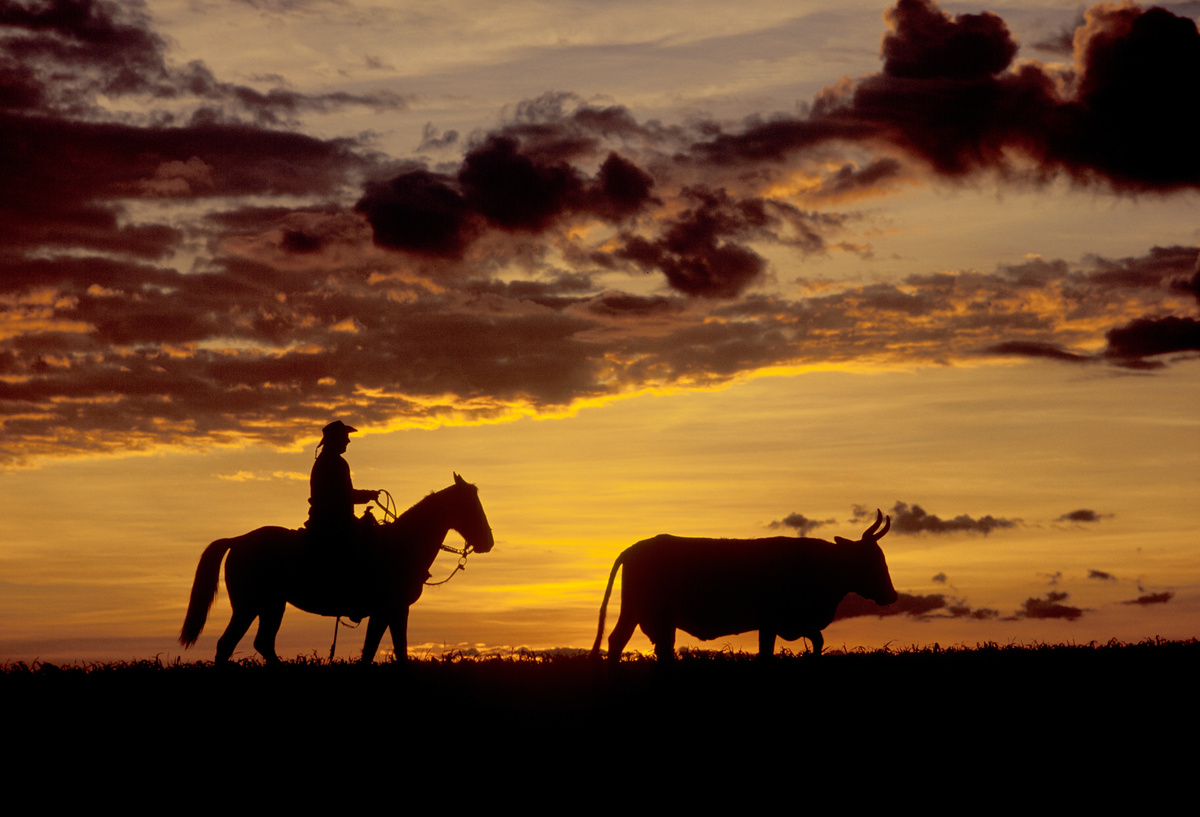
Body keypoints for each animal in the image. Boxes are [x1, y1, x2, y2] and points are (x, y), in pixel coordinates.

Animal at [176, 475, 492, 657]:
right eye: (472, 505)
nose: (488, 541)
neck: (402, 544)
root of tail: (238, 540)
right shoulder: (391, 609)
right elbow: (390, 651)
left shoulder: (387, 612)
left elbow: (374, 651)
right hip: (250, 606)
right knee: (229, 644)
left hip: (270, 605)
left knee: (260, 643)